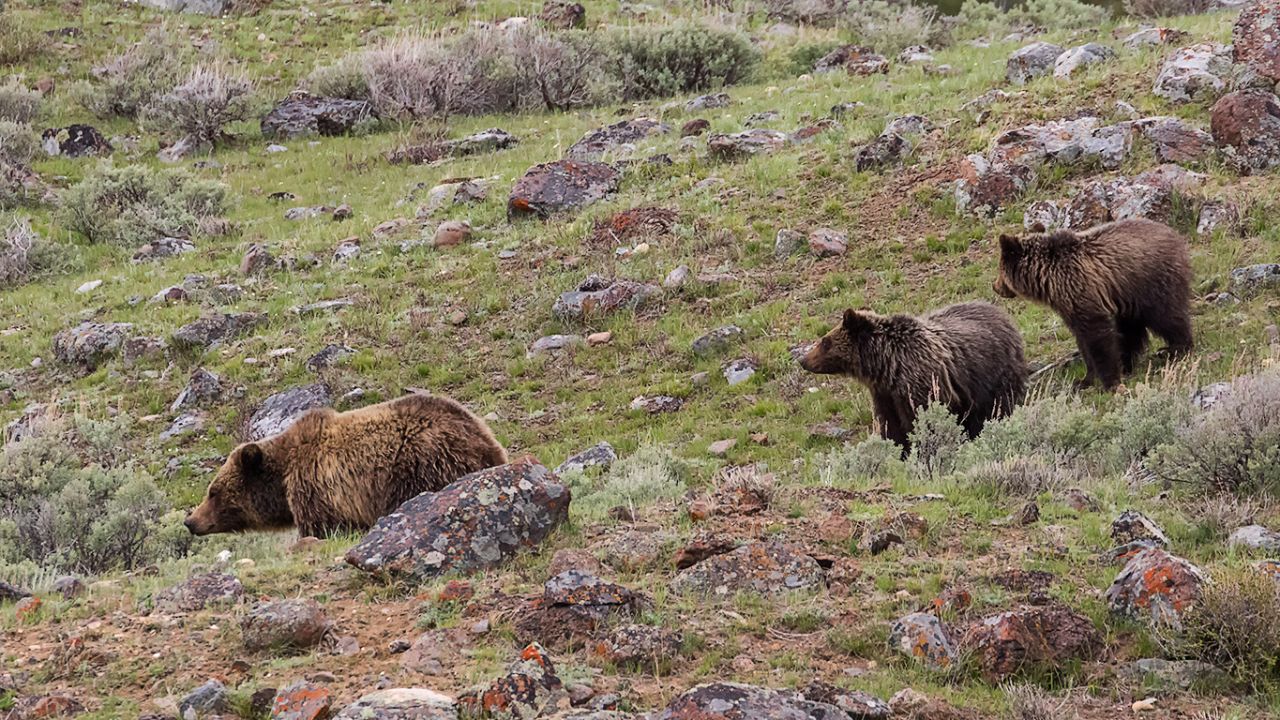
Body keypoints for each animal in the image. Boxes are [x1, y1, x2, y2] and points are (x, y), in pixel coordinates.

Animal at [798, 300, 1027, 452]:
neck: (887, 365)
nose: (802, 359)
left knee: (995, 408)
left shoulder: (921, 384)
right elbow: (890, 425)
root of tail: (1004, 315)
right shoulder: (885, 394)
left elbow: (924, 419)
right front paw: (897, 450)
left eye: (824, 341)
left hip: (995, 375)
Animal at [993, 218, 1193, 390]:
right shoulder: (1069, 306)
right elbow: (1083, 341)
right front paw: (1084, 380)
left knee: (1166, 316)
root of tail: (1176, 235)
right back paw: (1128, 362)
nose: (995, 287)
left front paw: (1110, 381)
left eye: (999, 269)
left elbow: (1097, 337)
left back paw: (1175, 349)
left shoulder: (1081, 291)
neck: (1049, 279)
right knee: (1131, 328)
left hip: (1151, 281)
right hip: (1129, 295)